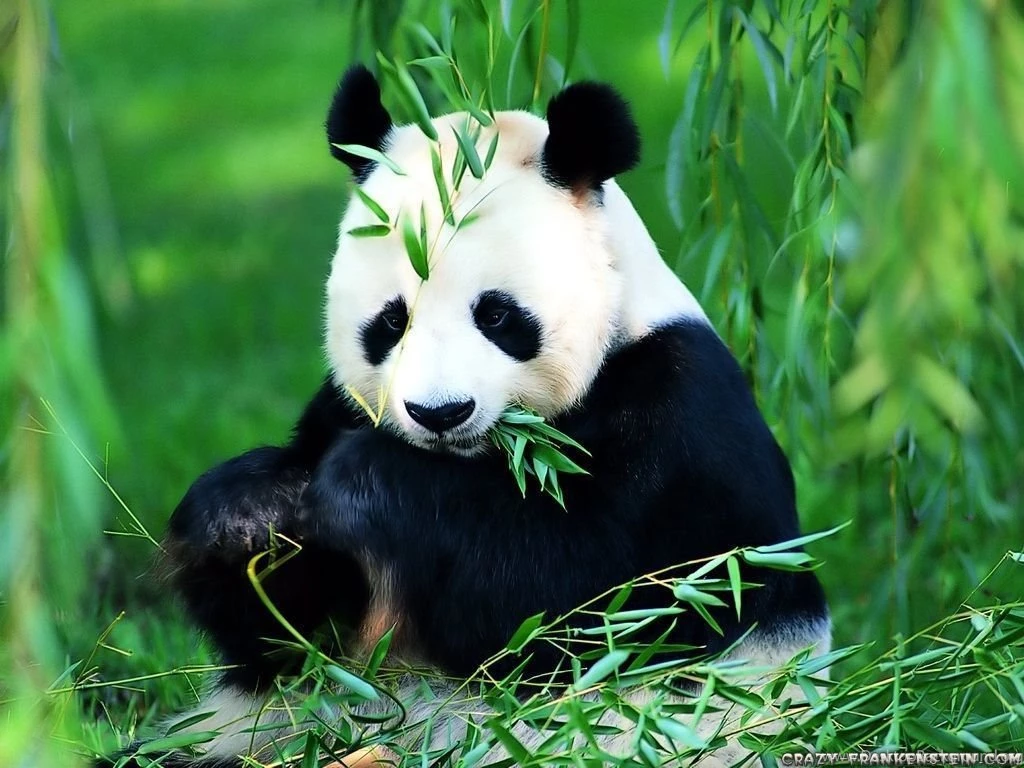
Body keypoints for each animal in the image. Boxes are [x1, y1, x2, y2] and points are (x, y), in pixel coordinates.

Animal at [98, 65, 830, 767]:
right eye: (392, 321)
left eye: (497, 315)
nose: (439, 413)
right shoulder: (339, 408)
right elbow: (288, 635)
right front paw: (249, 512)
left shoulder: (680, 421)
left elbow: (583, 599)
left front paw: (364, 482)